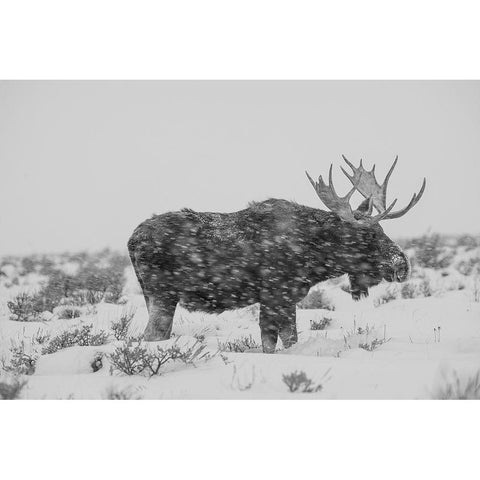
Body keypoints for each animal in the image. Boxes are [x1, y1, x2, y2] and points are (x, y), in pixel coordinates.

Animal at [126, 157, 424, 352]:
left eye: (382, 229)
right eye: (368, 236)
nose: (402, 265)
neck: (316, 259)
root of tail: (131, 240)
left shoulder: (288, 298)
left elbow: (290, 338)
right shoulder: (273, 295)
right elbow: (270, 342)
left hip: (153, 296)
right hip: (163, 295)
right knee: (152, 335)